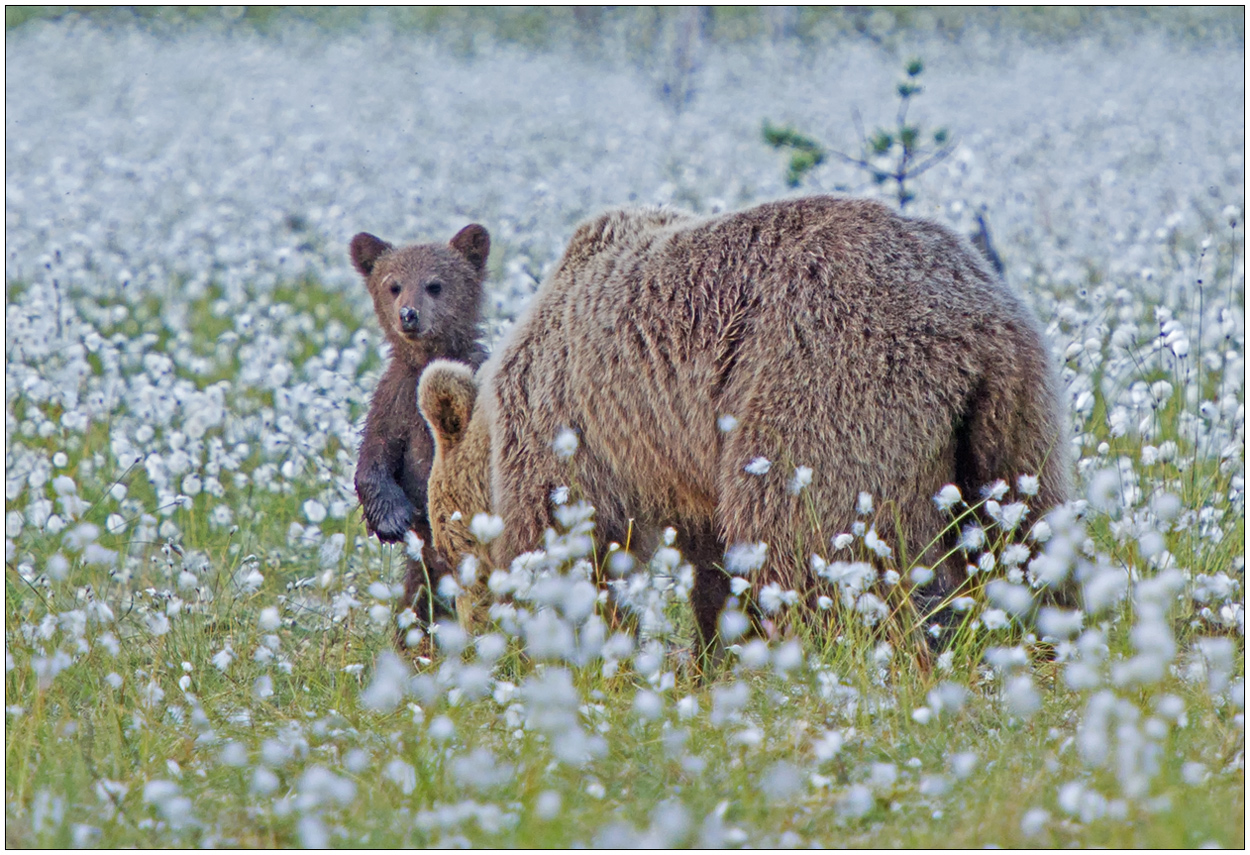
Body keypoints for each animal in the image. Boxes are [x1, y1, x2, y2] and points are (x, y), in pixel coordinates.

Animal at [415, 197, 1070, 660]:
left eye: (449, 550)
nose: (475, 633)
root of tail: (975, 328)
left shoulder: (573, 429)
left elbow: (569, 542)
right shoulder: (682, 456)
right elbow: (710, 567)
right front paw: (714, 652)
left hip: (825, 379)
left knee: (801, 542)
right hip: (1013, 417)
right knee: (1027, 532)